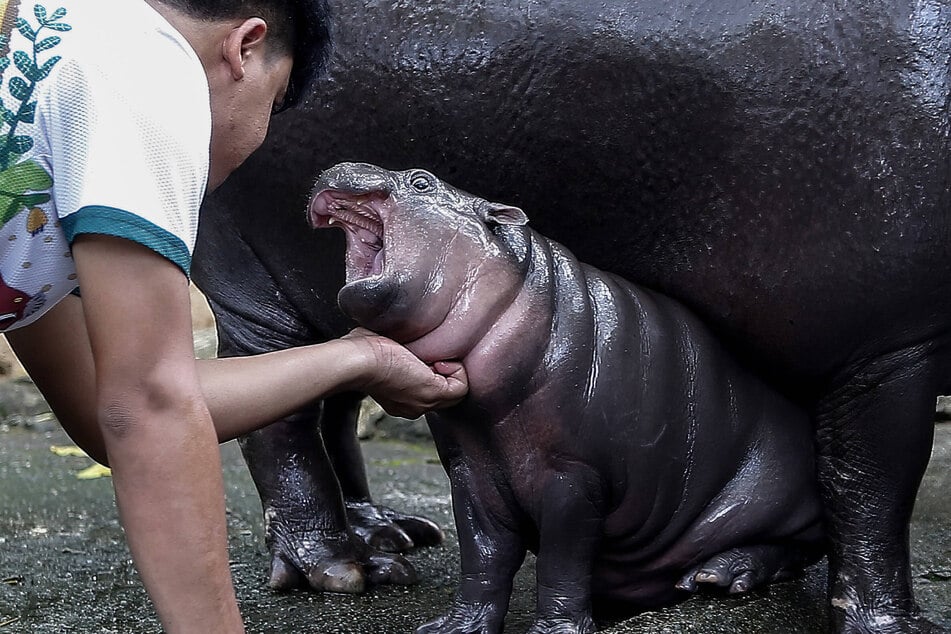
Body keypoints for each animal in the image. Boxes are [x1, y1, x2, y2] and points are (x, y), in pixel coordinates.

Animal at [308, 160, 828, 628]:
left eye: (421, 180)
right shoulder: (470, 470)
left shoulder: (573, 475)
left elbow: (563, 560)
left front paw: (555, 630)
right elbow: (483, 556)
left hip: (776, 493)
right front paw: (455, 627)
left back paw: (719, 576)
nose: (338, 164)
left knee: (796, 548)